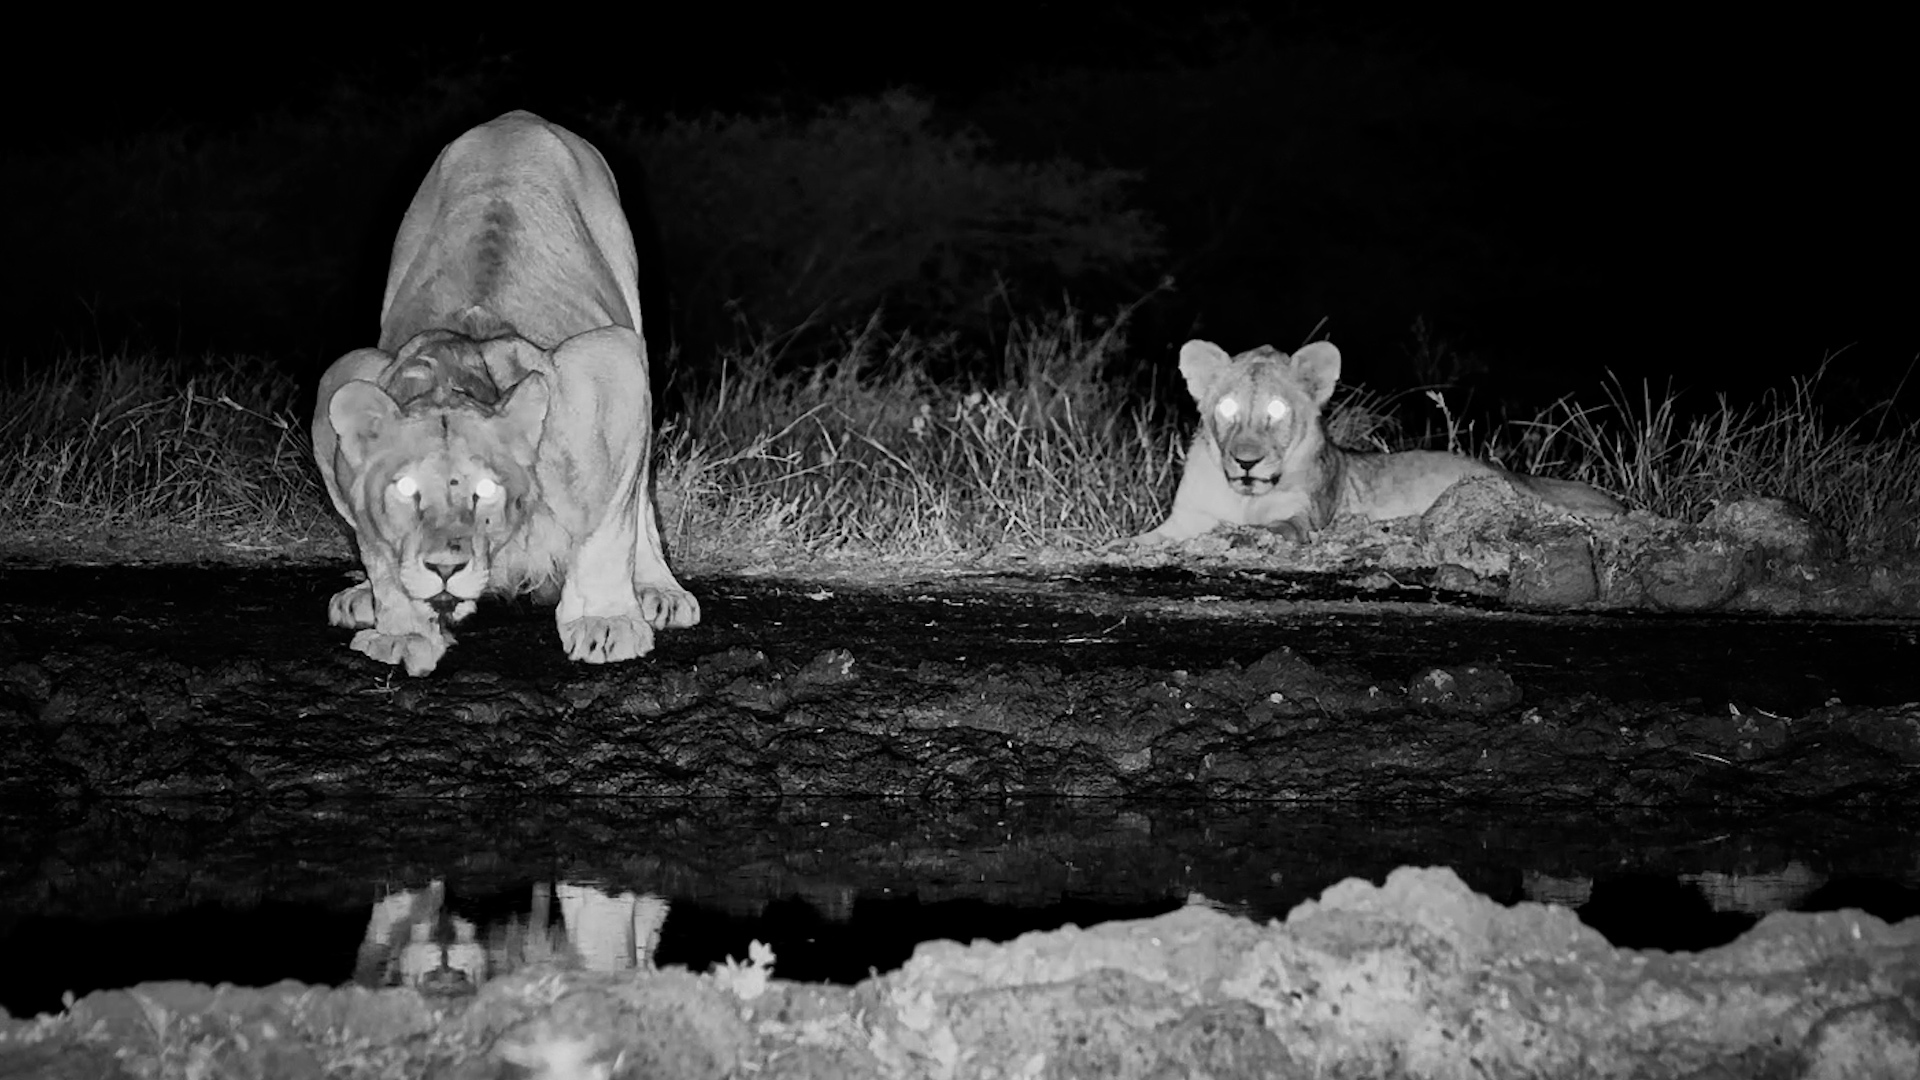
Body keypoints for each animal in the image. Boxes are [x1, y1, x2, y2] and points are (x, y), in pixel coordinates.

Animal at [312, 111, 698, 676]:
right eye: (405, 488)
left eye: (487, 490)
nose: (444, 566)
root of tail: (517, 120)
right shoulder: (338, 383)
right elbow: (375, 543)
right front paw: (403, 631)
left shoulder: (613, 364)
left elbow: (608, 522)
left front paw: (605, 623)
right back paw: (361, 597)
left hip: (629, 305)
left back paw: (659, 591)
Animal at [1135, 339, 1625, 544]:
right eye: (1227, 409)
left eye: (1275, 410)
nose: (1246, 462)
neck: (1243, 498)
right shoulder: (1186, 518)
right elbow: (1144, 540)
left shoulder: (1304, 517)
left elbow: (1275, 528)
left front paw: (1242, 536)